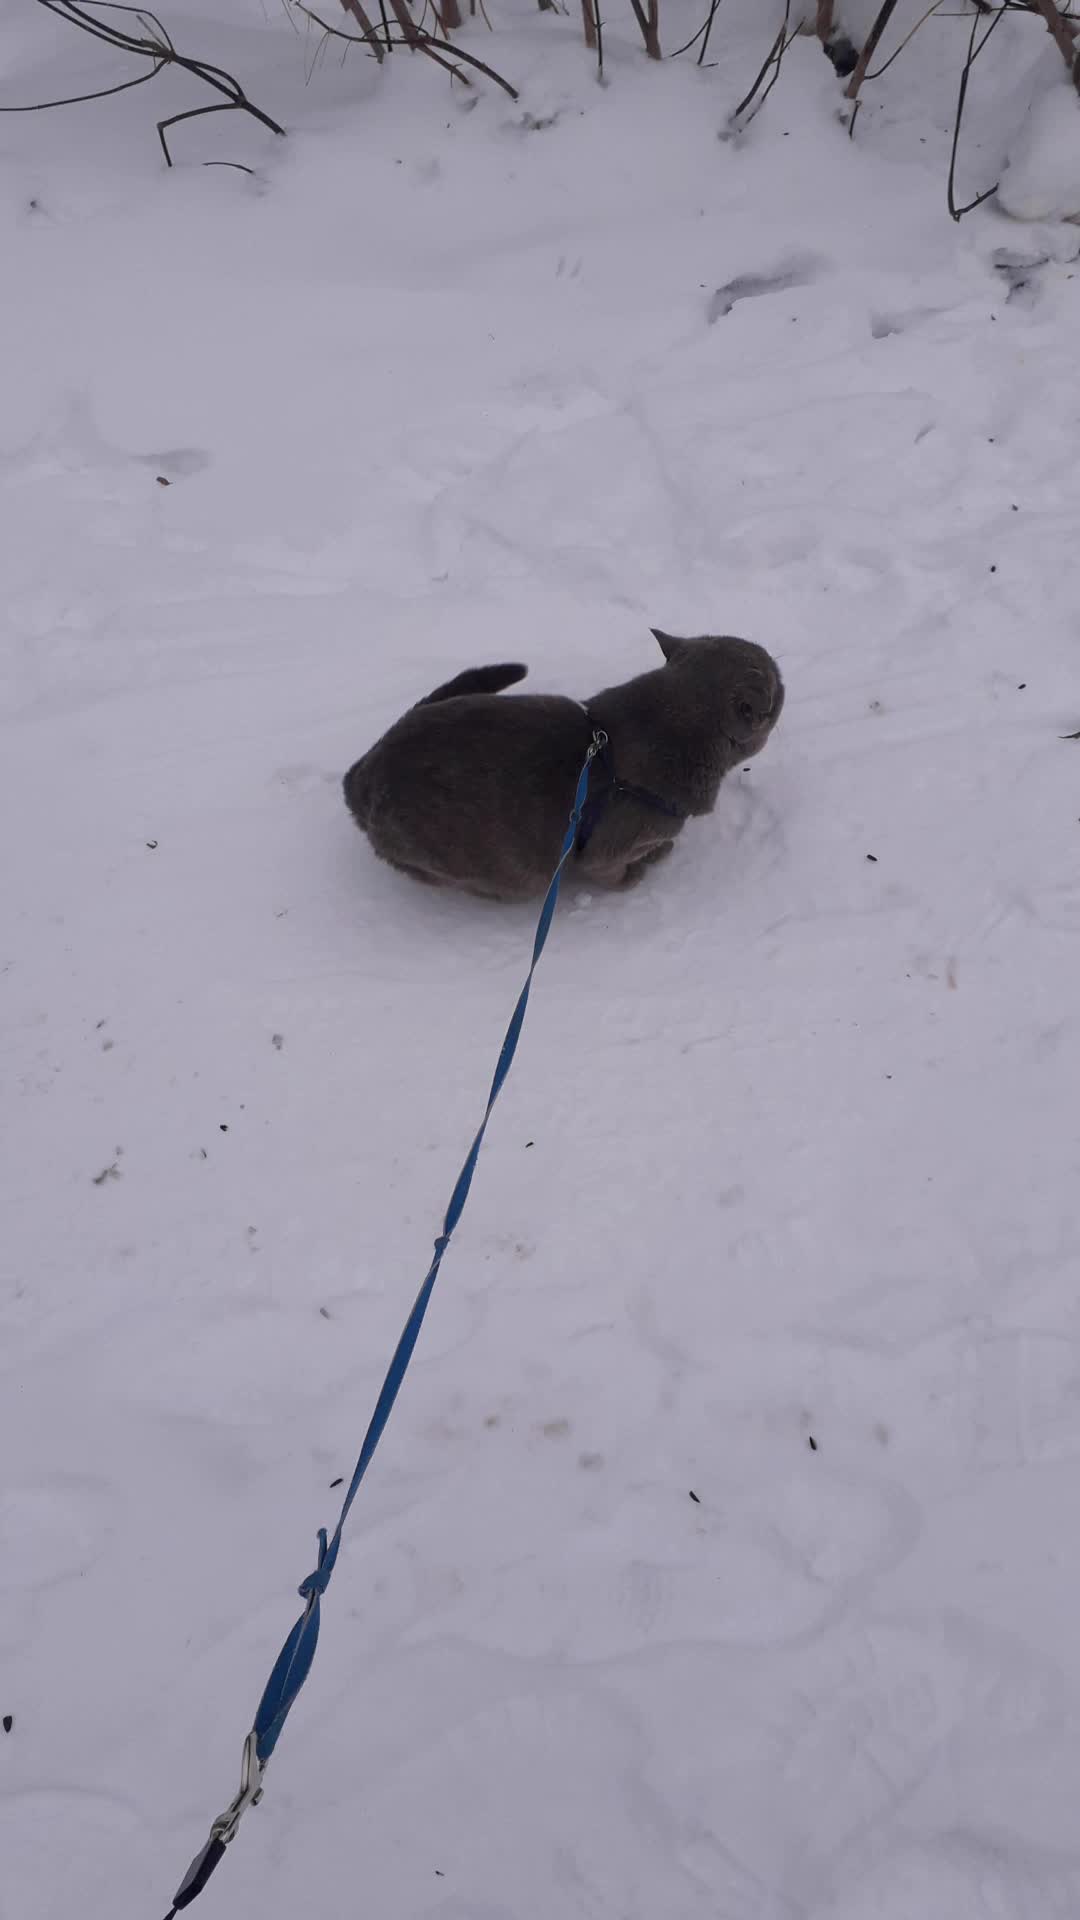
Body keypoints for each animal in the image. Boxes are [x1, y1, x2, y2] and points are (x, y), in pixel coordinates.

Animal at [343, 625, 780, 902]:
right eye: (777, 682)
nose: (780, 666)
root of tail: (361, 776)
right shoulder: (609, 849)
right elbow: (619, 872)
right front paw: (649, 864)